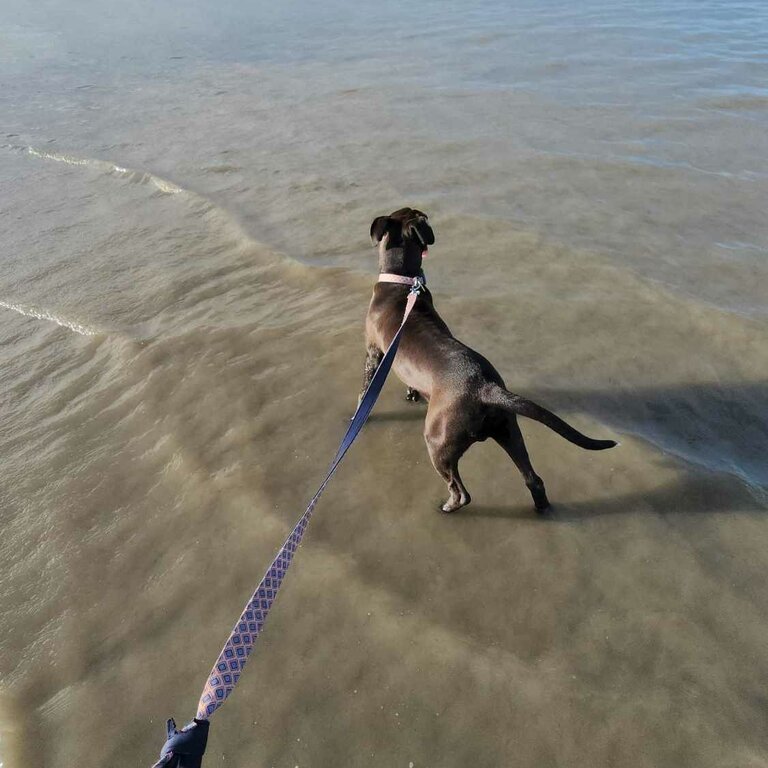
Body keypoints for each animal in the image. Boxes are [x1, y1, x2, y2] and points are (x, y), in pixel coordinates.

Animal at [360, 207, 616, 512]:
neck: (403, 283)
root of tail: (484, 388)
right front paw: (411, 393)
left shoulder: (373, 352)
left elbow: (365, 387)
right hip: (509, 429)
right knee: (533, 479)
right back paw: (542, 508)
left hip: (438, 440)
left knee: (461, 491)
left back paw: (446, 507)